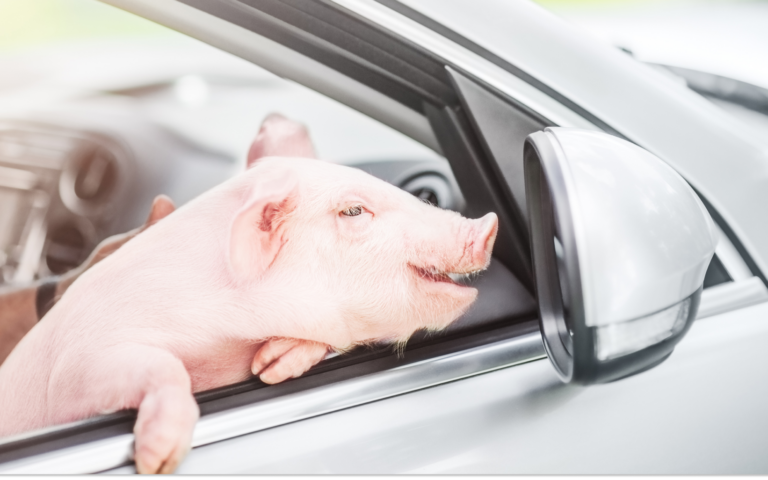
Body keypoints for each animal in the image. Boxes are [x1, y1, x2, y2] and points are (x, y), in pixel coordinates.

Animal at [0, 115, 498, 474]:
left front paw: (271, 365)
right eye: (354, 210)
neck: (227, 330)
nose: (488, 224)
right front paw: (158, 459)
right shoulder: (74, 371)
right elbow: (161, 366)